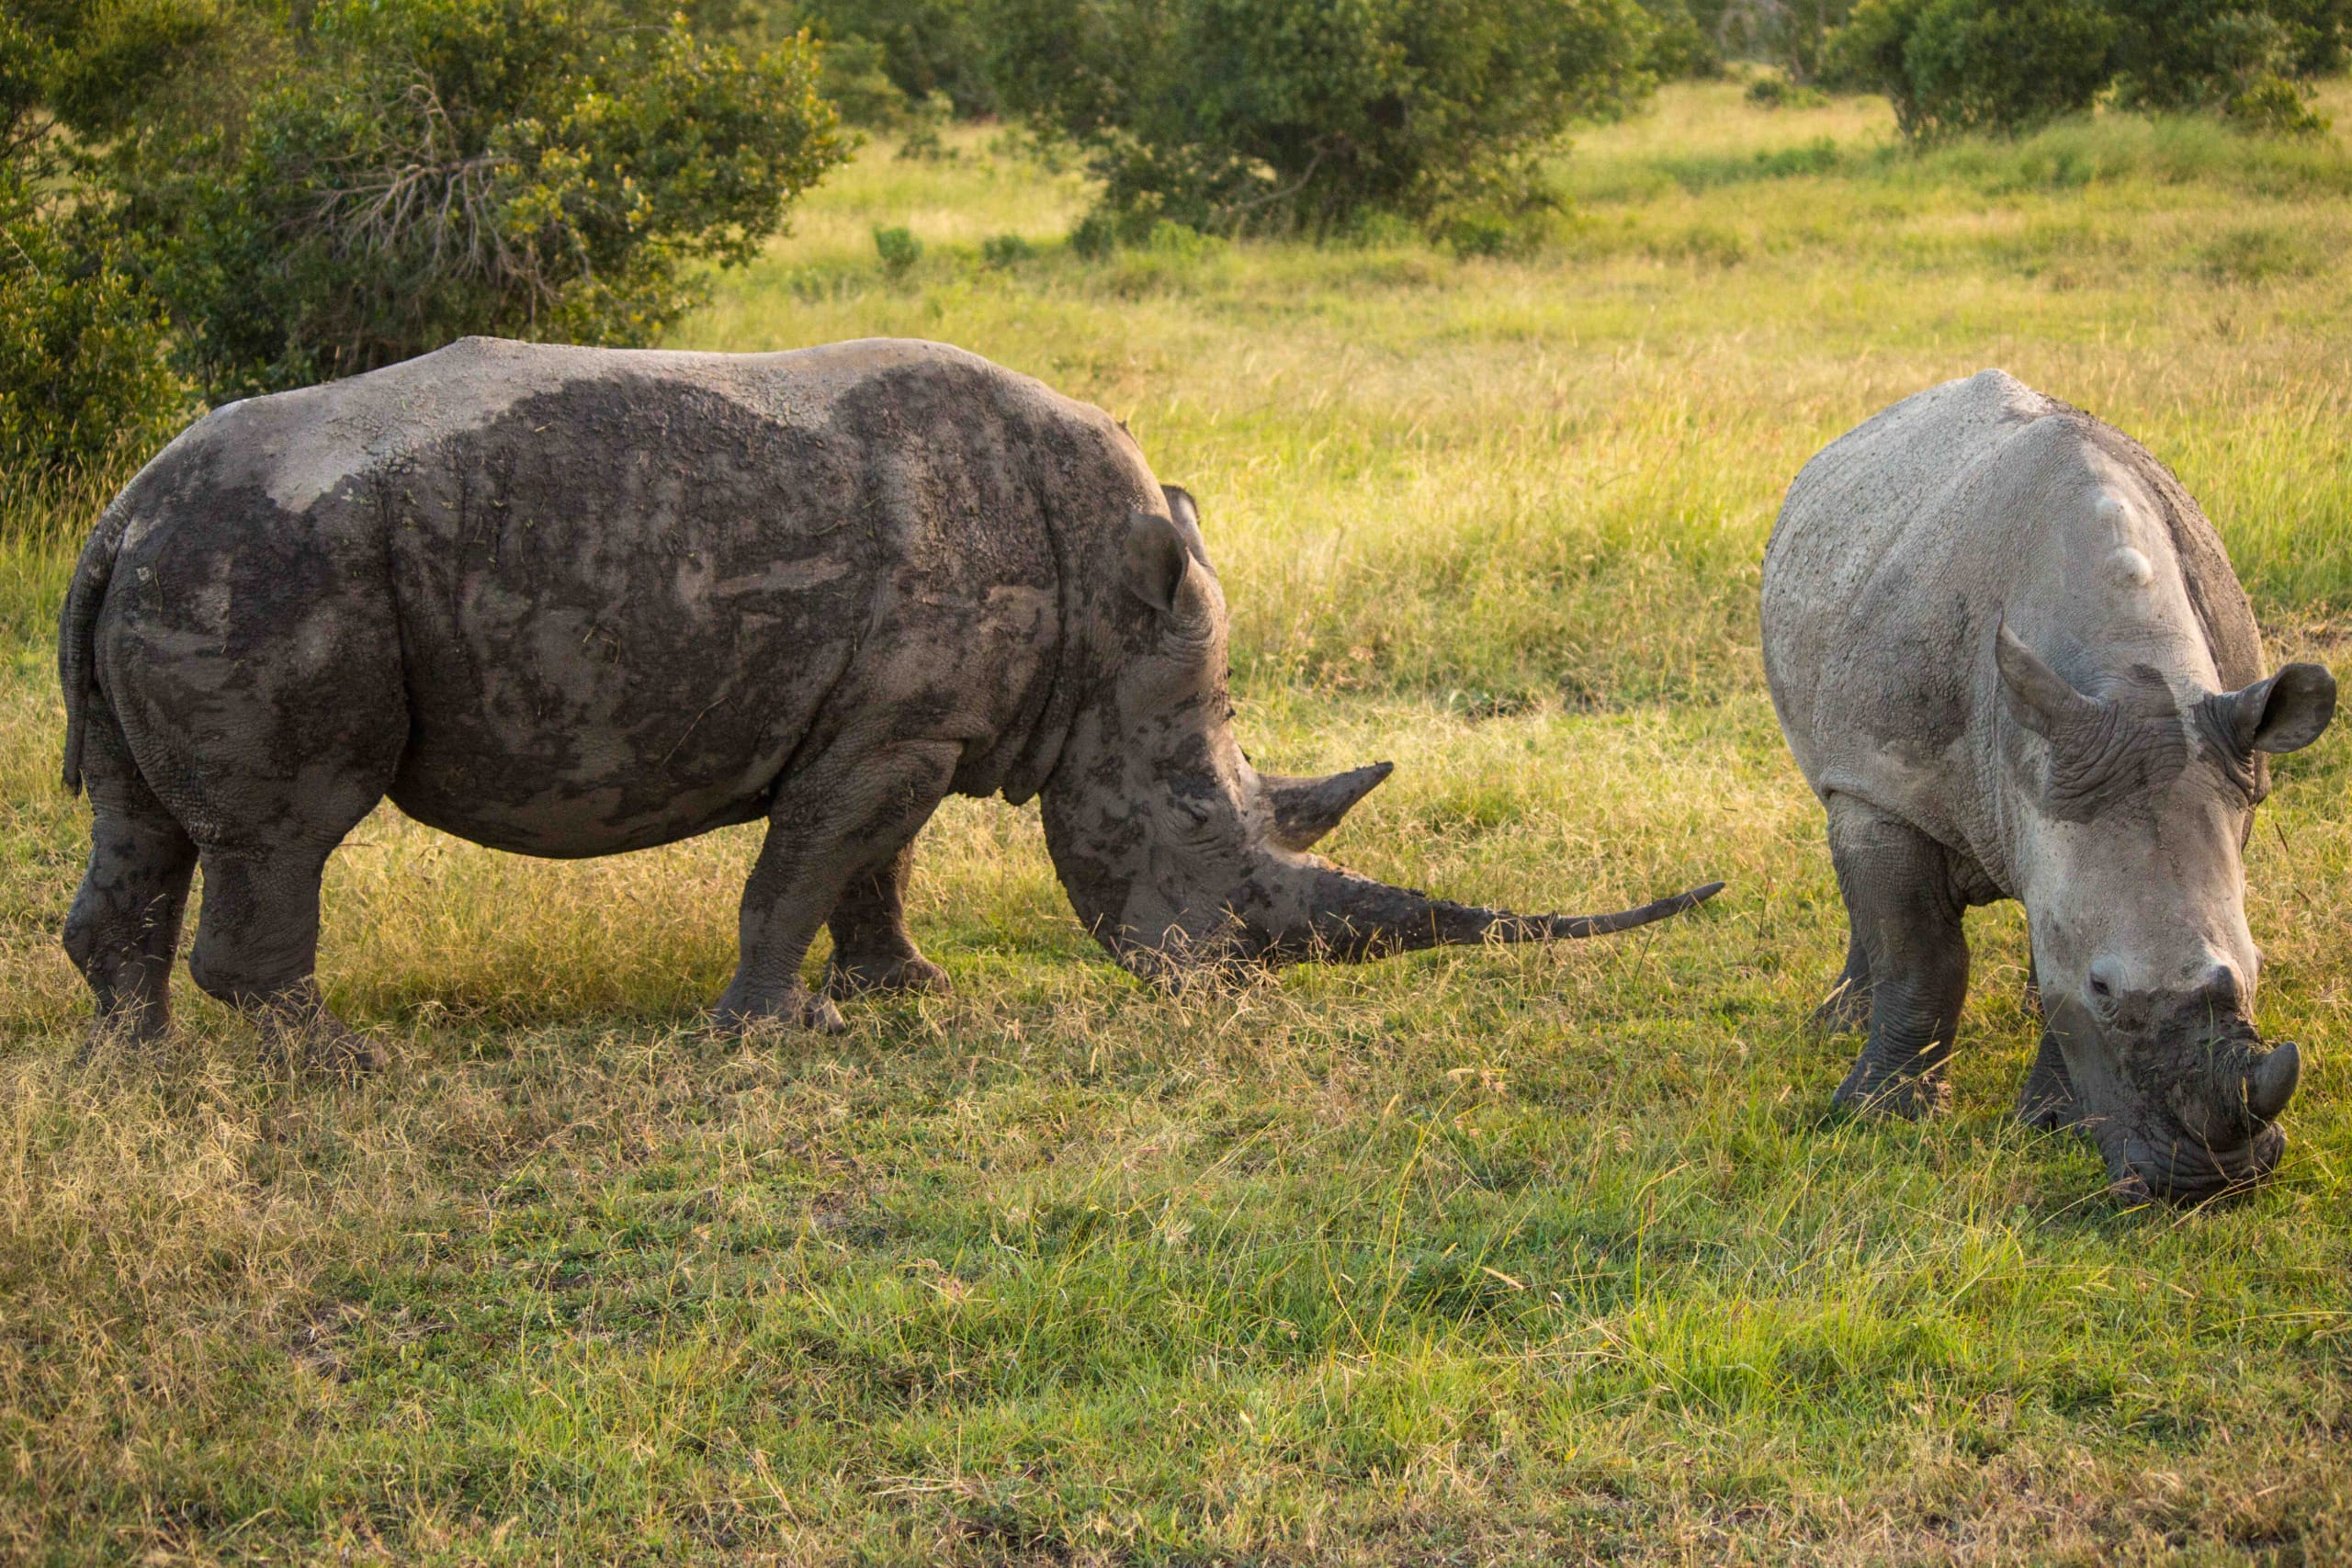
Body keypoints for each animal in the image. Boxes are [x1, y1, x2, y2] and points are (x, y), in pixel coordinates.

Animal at [59, 337, 1720, 1069]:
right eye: (1197, 826)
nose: (1225, 985)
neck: (1107, 602)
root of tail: (120, 508)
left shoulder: (913, 720)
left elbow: (874, 868)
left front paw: (903, 990)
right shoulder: (892, 728)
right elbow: (801, 868)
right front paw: (768, 1030)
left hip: (199, 555)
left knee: (147, 824)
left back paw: (136, 1059)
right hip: (268, 562)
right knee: (291, 826)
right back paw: (335, 1064)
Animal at [1762, 369, 2334, 1201]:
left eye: (2258, 969)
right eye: (2103, 988)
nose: (2209, 1182)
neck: (2128, 671)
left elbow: (2049, 952)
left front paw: (2051, 1126)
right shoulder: (1888, 781)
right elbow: (1921, 955)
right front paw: (1880, 1117)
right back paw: (1837, 1027)